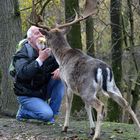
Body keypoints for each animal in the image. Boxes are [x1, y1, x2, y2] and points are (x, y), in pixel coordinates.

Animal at [29, 0, 140, 139]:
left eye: (47, 37)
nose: (43, 44)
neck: (62, 57)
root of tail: (103, 68)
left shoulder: (67, 83)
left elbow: (69, 104)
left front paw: (65, 127)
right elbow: (87, 107)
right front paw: (91, 129)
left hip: (87, 89)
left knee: (101, 106)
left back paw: (96, 136)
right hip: (111, 87)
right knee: (126, 104)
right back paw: (138, 128)